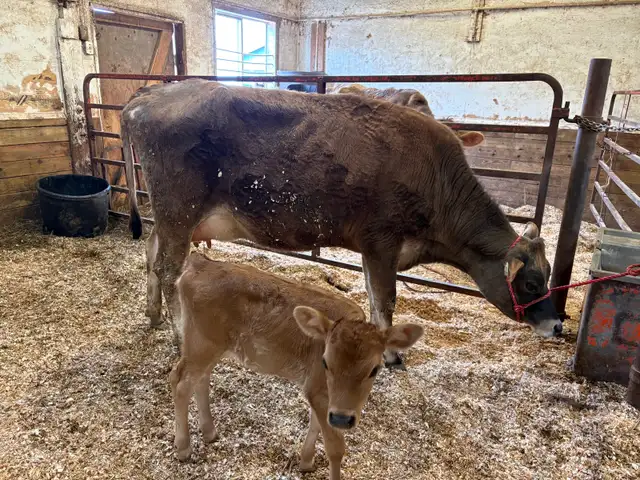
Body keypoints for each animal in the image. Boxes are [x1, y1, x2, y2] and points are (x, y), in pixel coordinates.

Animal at [170, 252, 424, 478]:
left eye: (374, 369)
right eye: (325, 362)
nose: (343, 419)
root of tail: (200, 262)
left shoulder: (322, 395)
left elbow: (315, 424)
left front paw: (306, 461)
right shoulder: (318, 391)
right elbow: (335, 448)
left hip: (211, 346)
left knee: (201, 380)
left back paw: (209, 432)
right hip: (201, 343)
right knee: (180, 381)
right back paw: (183, 448)